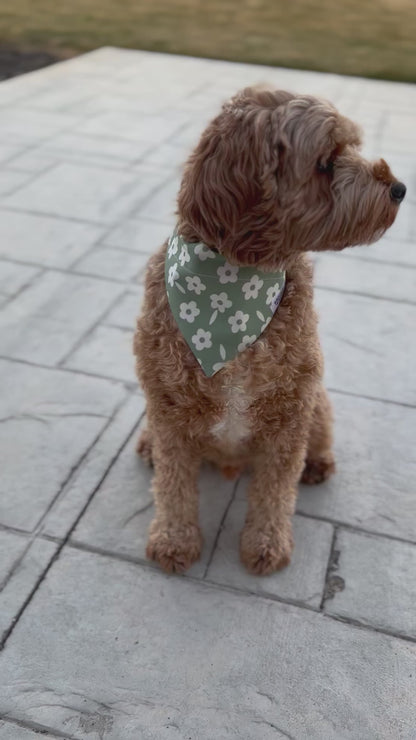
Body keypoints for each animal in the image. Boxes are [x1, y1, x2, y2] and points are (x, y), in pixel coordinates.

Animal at [134, 88, 406, 580]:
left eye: (352, 147)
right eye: (325, 162)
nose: (399, 188)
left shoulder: (291, 412)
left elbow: (275, 492)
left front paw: (266, 544)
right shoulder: (169, 407)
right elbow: (173, 484)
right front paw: (173, 541)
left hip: (318, 401)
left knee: (322, 433)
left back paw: (318, 464)